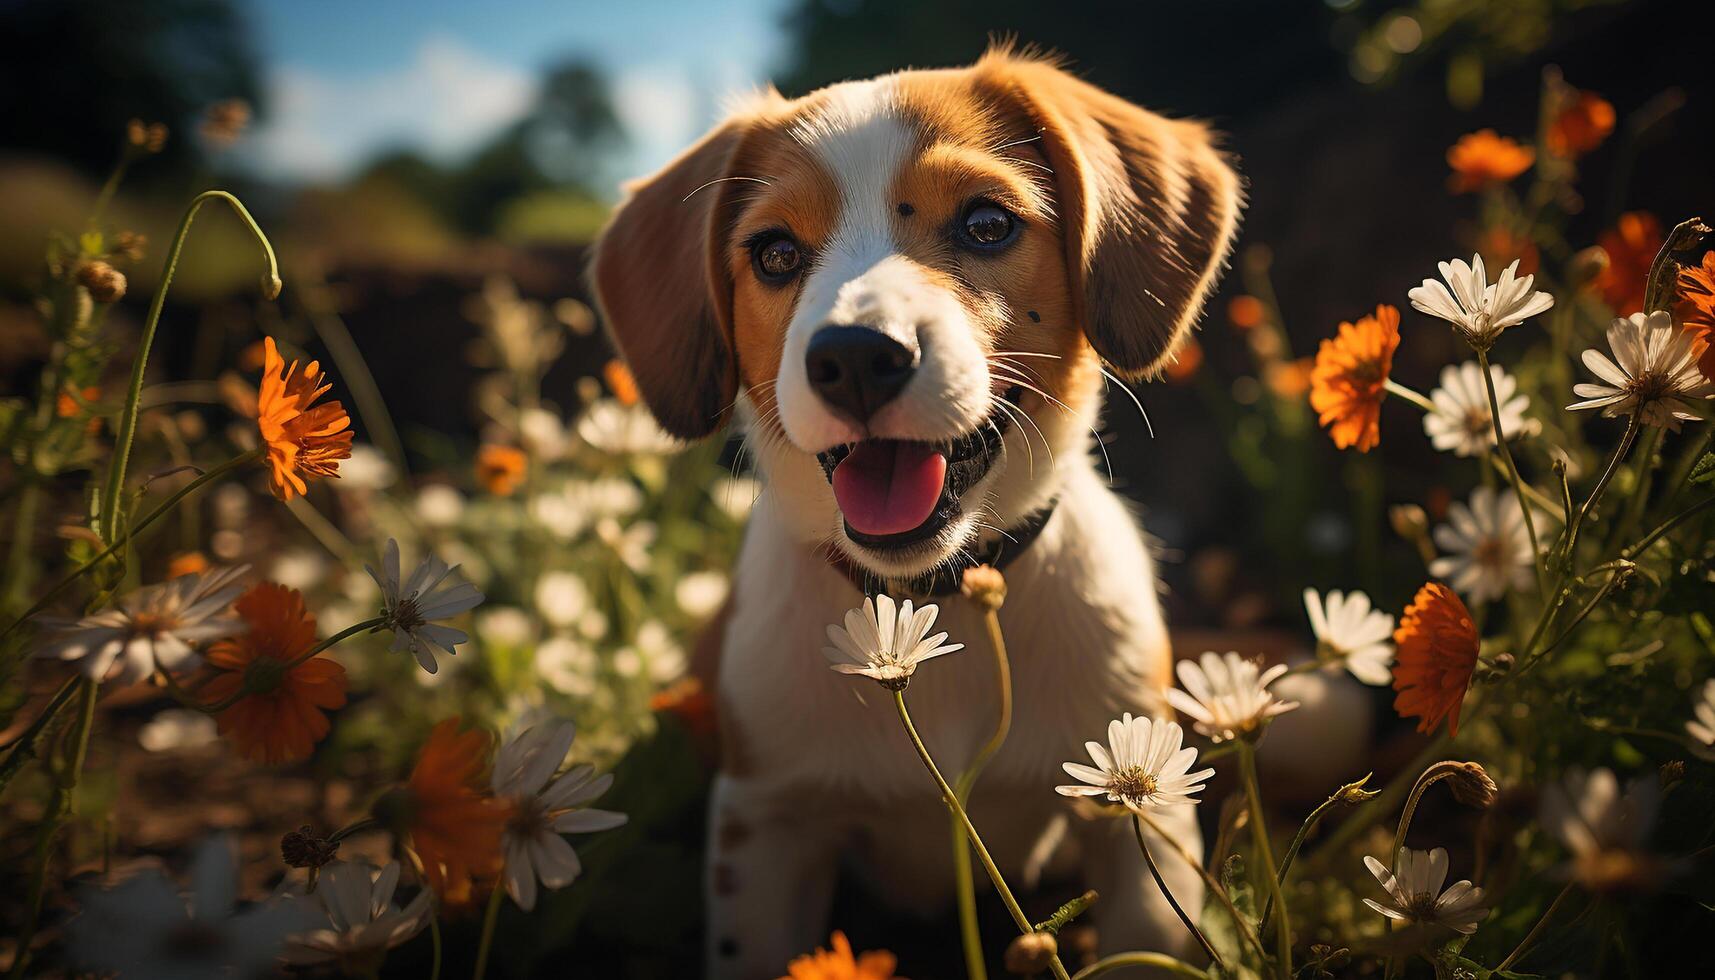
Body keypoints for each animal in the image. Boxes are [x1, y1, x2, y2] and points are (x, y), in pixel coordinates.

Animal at [596, 49, 1241, 974]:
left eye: (986, 224)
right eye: (775, 252)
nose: (856, 356)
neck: (932, 603)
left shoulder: (1141, 814)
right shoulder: (767, 823)